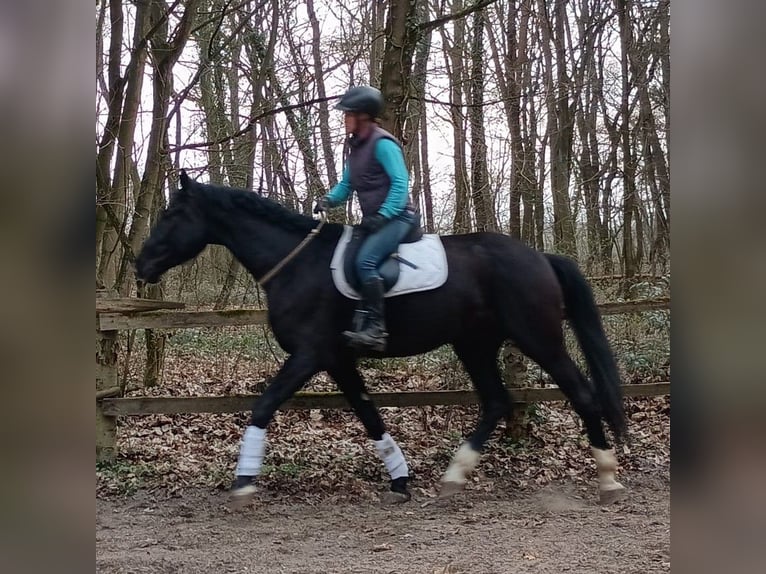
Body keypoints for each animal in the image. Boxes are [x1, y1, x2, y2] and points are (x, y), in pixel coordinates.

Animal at [135, 170, 627, 507]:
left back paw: (608, 477)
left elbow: (263, 406)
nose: (142, 264)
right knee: (496, 401)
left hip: (537, 338)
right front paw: (400, 479)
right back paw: (454, 474)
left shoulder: (309, 354)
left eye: (172, 214)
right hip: (475, 344)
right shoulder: (337, 359)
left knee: (581, 394)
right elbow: (370, 417)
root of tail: (539, 256)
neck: (296, 263)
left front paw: (243, 481)